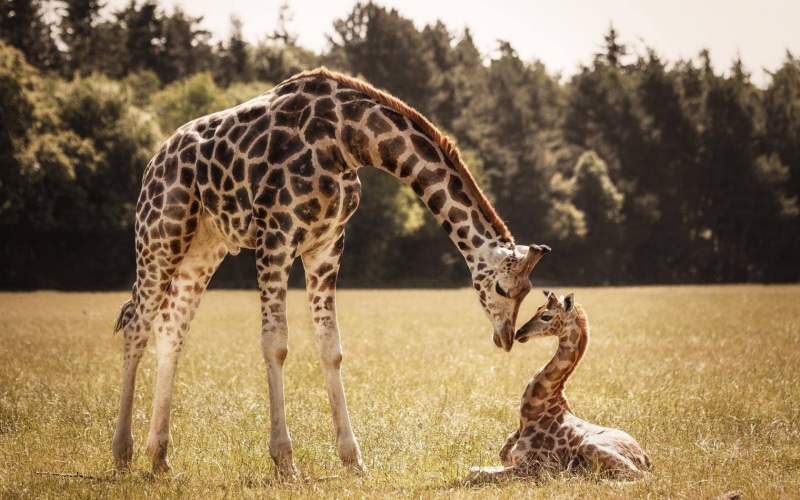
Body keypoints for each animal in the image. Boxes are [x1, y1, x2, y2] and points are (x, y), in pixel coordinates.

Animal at [111, 67, 550, 478]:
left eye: (528, 291)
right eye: (503, 288)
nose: (506, 338)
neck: (347, 139)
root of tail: (154, 161)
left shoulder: (326, 245)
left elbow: (330, 345)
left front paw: (352, 459)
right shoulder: (276, 236)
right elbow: (275, 343)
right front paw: (284, 461)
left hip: (204, 246)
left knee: (171, 328)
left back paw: (160, 458)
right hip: (160, 232)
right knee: (137, 326)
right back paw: (122, 453)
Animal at [467, 291, 651, 482]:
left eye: (546, 316)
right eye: (537, 309)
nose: (519, 333)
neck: (530, 415)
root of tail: (646, 459)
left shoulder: (536, 468)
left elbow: (477, 474)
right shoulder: (508, 462)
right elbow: (473, 470)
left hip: (590, 446)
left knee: (642, 477)